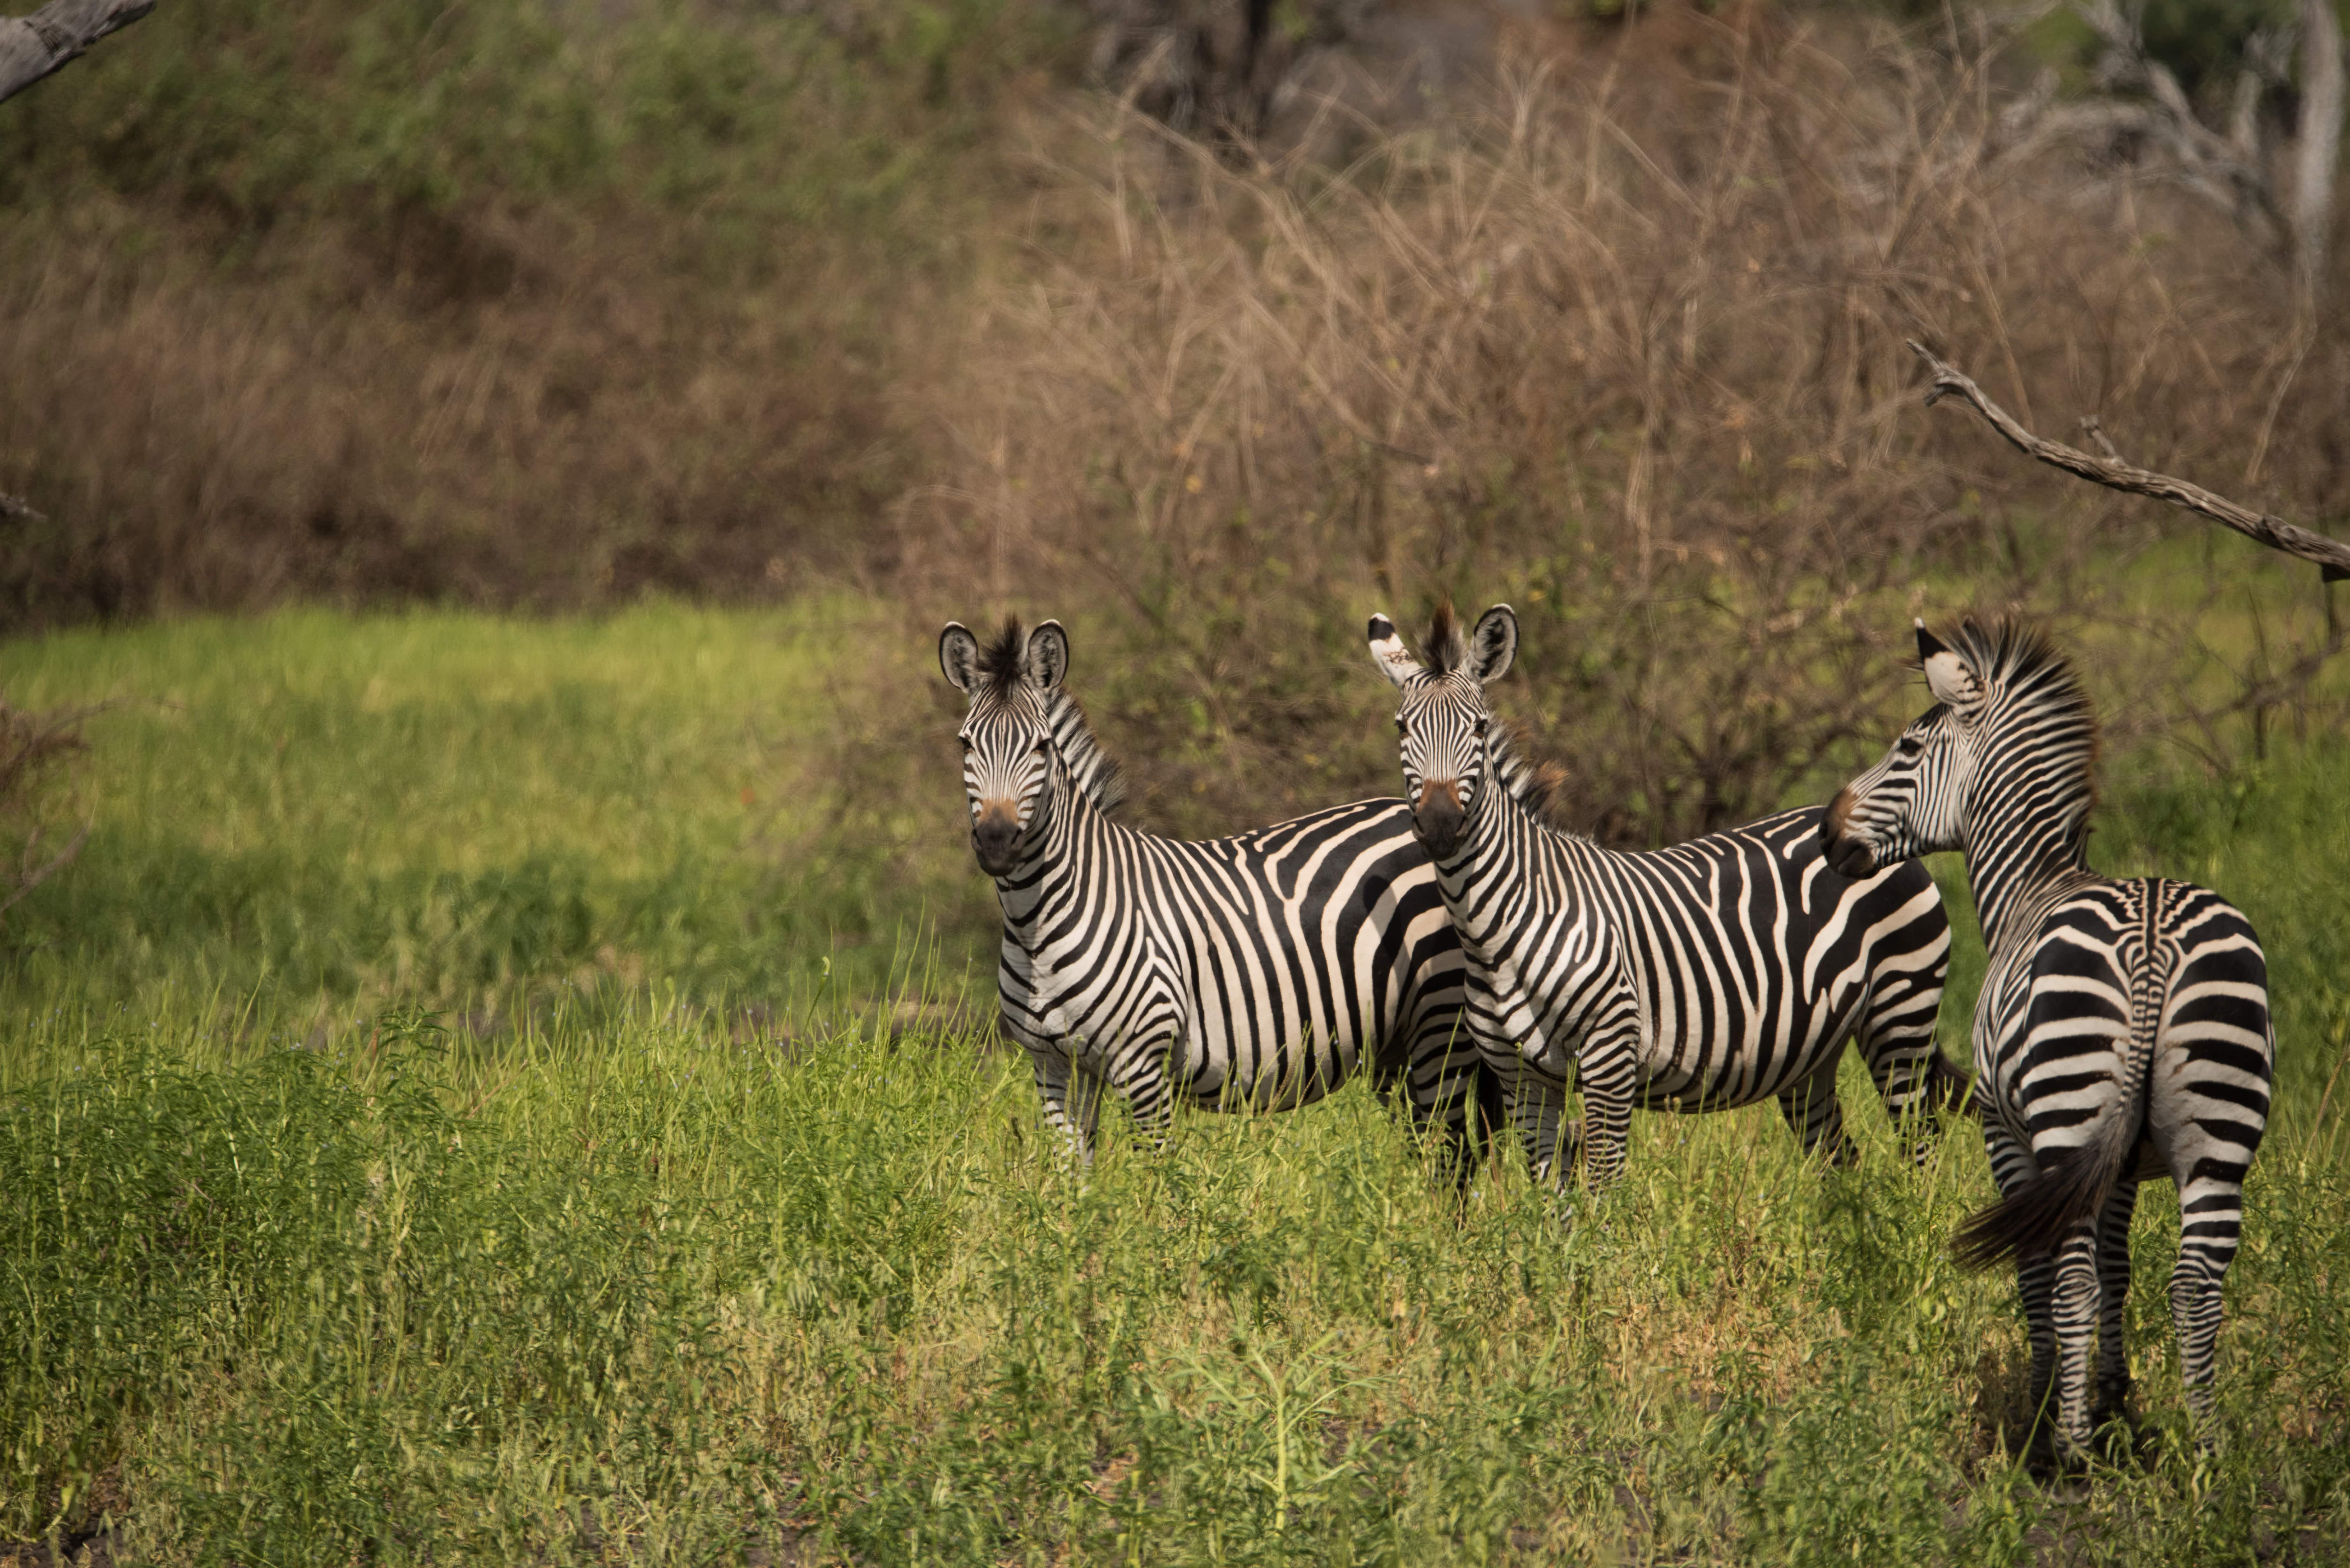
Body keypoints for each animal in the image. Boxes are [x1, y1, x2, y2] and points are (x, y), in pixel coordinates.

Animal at [939, 617, 1493, 1174]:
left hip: (1440, 1022)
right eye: (965, 746)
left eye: (1041, 747)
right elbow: (1072, 1184)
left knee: (1455, 1156)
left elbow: (1156, 1180)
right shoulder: (1055, 1067)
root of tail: (1420, 818)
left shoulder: (1142, 1063)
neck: (1038, 918)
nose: (997, 842)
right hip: (1395, 1050)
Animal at [1365, 603, 1964, 1191]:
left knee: (1924, 1154)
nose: (1441, 825)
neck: (1497, 930)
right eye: (1401, 727)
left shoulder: (1610, 1055)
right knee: (1840, 1163)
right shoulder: (1522, 1078)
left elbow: (1602, 1188)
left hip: (1901, 1016)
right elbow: (1552, 1198)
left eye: (1479, 726)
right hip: (1812, 1053)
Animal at [1822, 618, 2273, 1462]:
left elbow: (2040, 1273)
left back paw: (2065, 1449)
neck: (2034, 887)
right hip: (2218, 1124)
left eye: (1906, 747)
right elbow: (2118, 1266)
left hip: (2067, 1111)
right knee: (2193, 1283)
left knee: (2069, 1278)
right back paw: (2207, 1447)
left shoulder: (2007, 1135)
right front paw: (2114, 1398)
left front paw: (2045, 1409)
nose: (1829, 831)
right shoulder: (2120, 1163)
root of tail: (2152, 940)